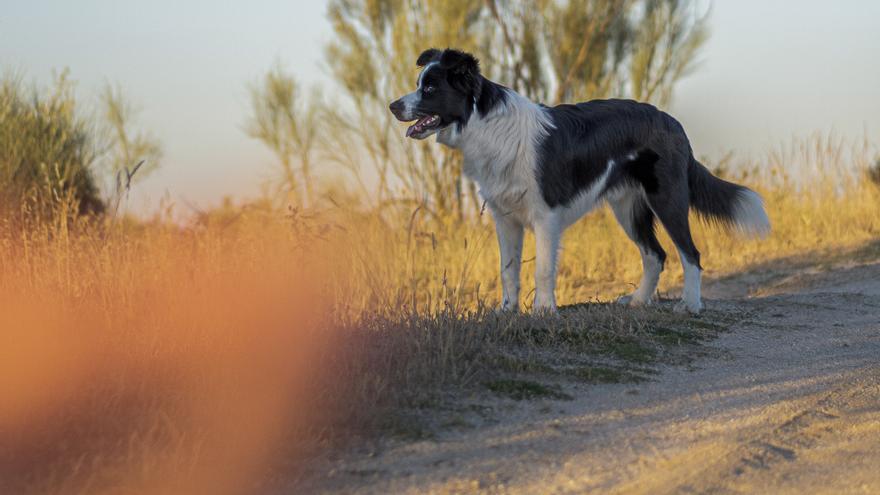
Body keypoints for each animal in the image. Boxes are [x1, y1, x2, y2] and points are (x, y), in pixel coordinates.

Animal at [388, 48, 768, 316]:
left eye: (430, 88)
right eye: (420, 84)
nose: (392, 105)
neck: (483, 123)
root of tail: (671, 121)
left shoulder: (545, 215)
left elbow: (543, 269)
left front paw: (543, 311)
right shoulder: (505, 218)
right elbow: (508, 269)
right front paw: (506, 311)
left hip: (667, 198)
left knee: (690, 253)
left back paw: (690, 305)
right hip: (628, 208)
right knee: (655, 254)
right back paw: (638, 301)